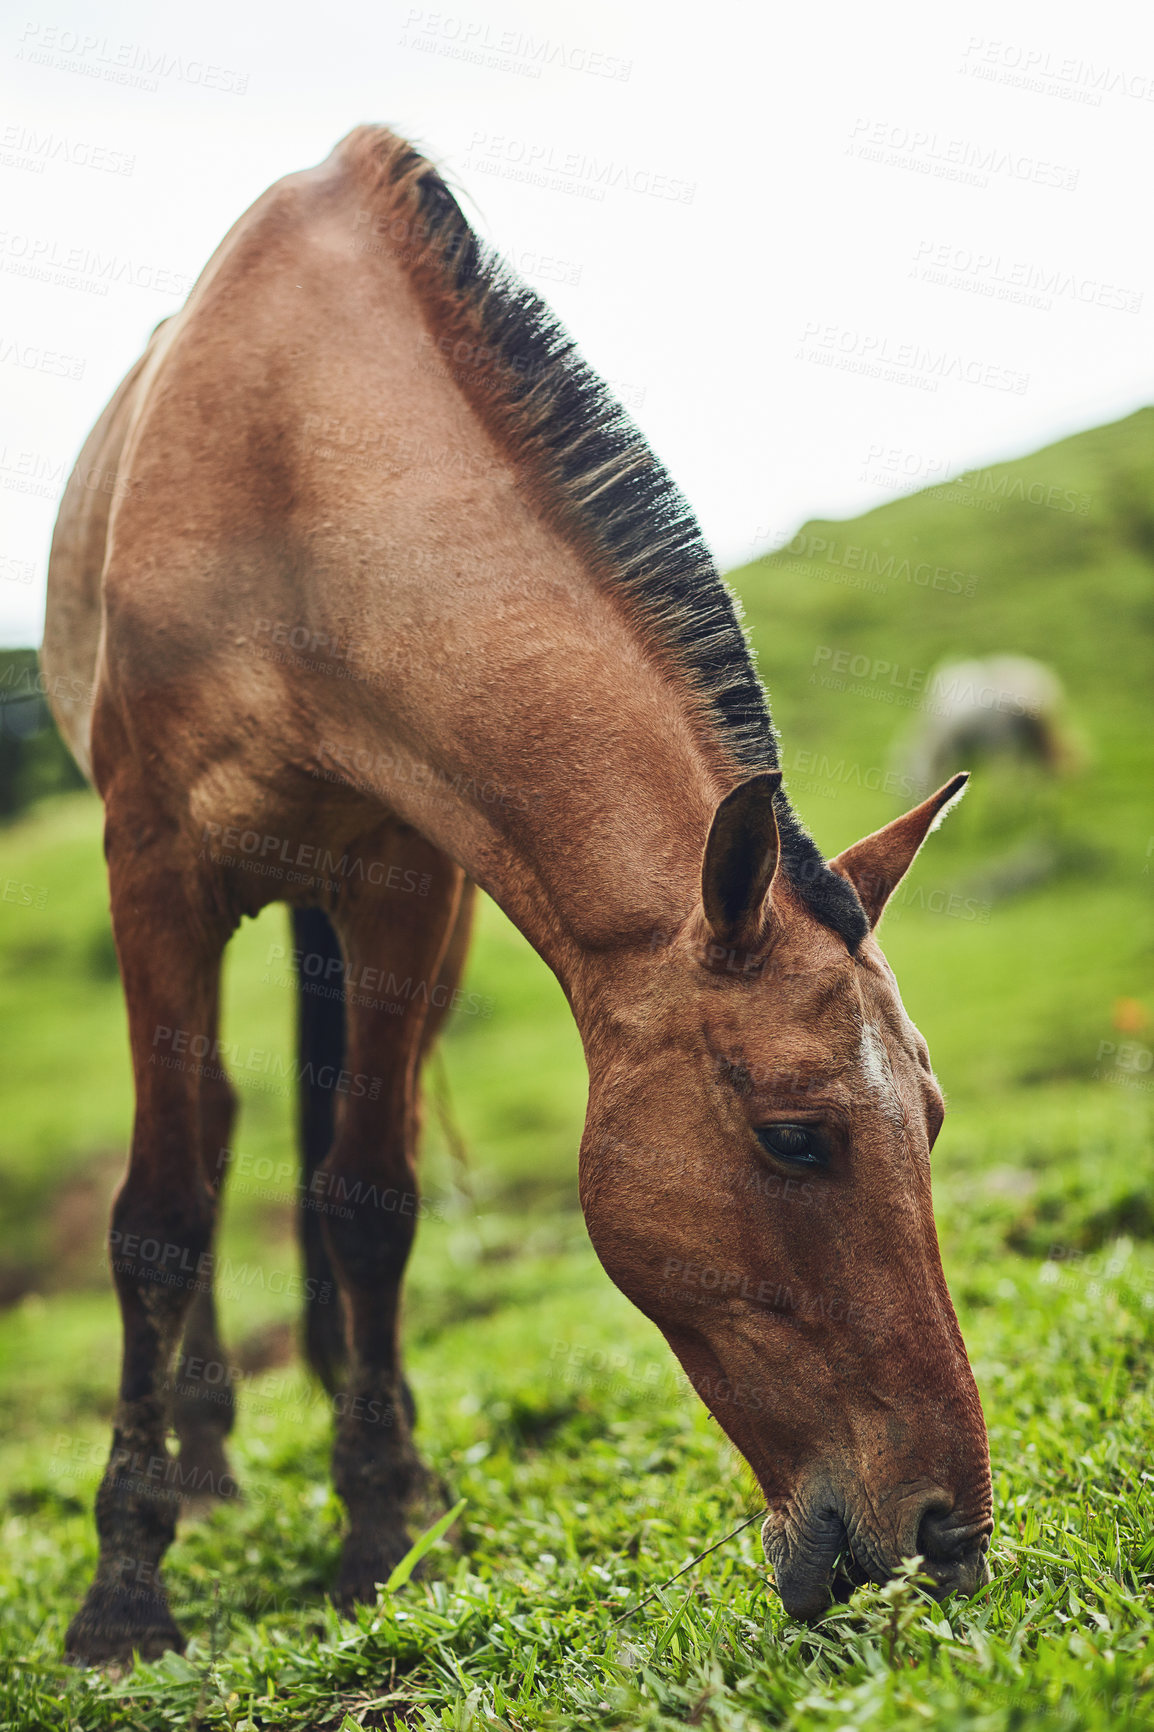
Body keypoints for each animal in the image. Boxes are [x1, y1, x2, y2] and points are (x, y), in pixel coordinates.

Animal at [40, 125, 984, 1662]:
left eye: (935, 1118)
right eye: (794, 1139)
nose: (948, 1533)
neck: (294, 466)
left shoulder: (404, 876)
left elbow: (370, 1193)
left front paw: (382, 1519)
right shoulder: (157, 867)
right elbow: (161, 1215)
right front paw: (124, 1588)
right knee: (220, 1133)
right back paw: (208, 1458)